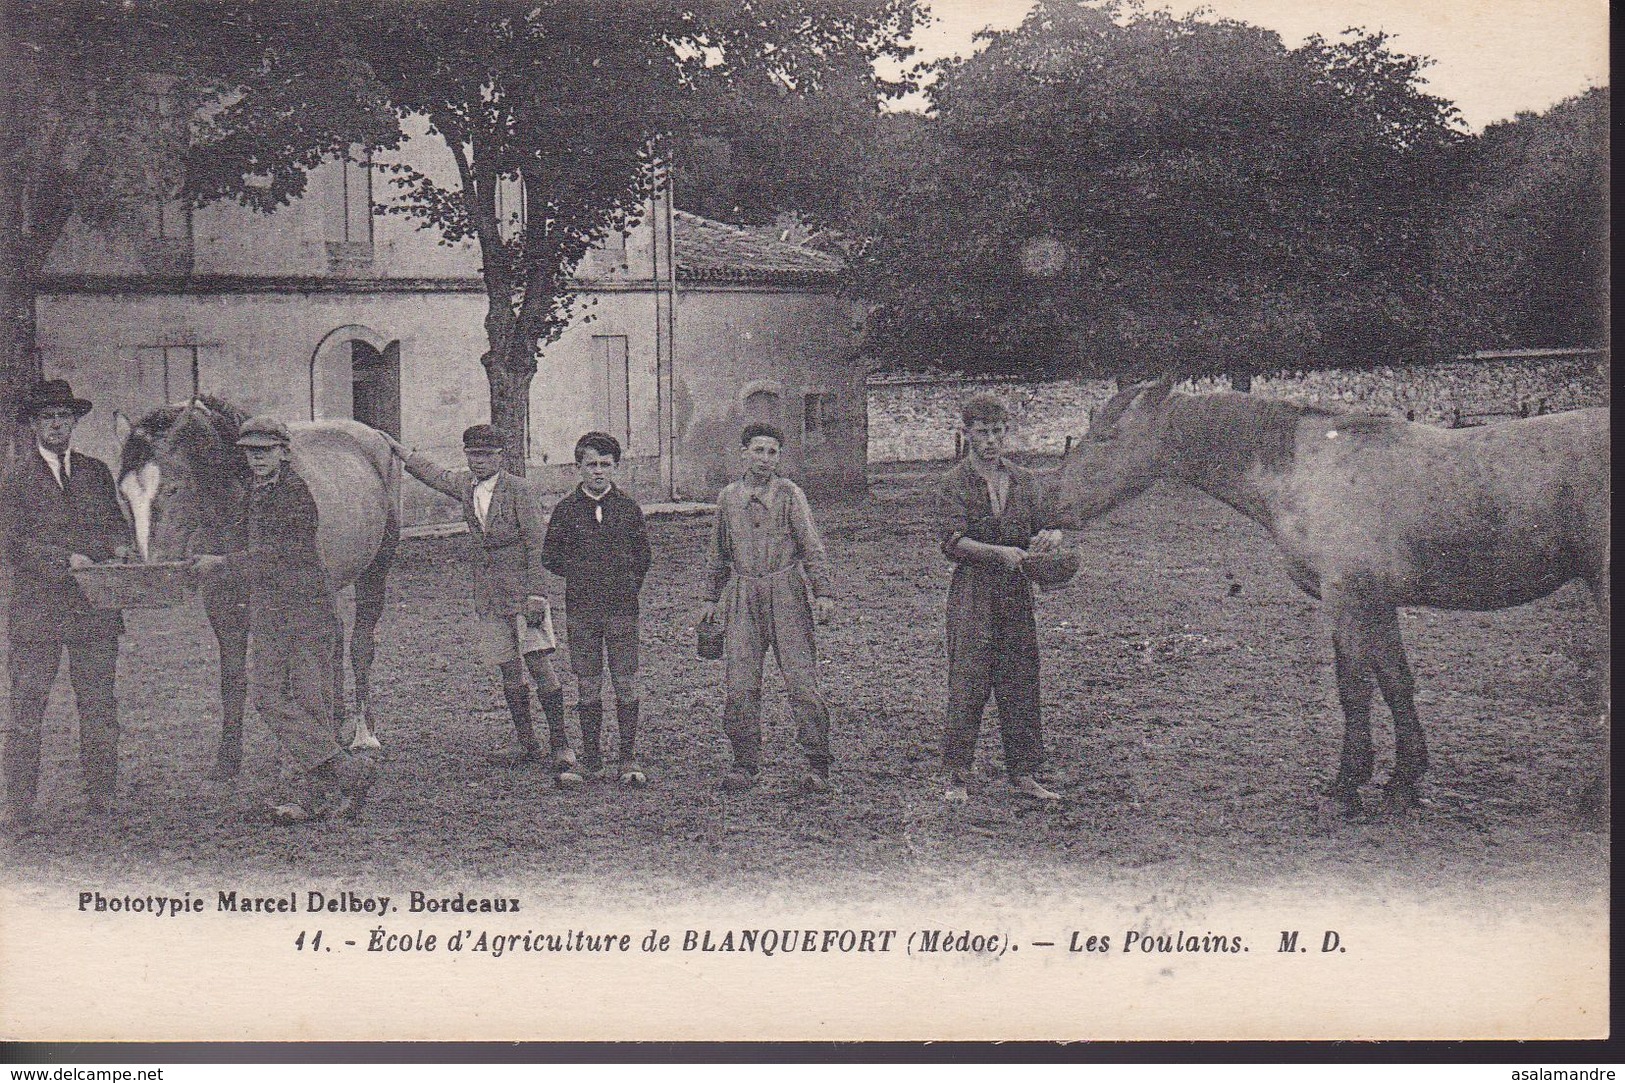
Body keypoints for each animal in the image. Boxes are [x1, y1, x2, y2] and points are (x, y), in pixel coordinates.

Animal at [118, 391, 399, 770]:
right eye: (123, 495)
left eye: (174, 488)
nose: (150, 573)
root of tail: (376, 436)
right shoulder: (223, 605)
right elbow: (233, 679)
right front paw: (227, 761)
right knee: (336, 638)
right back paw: (337, 723)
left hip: (374, 572)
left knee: (360, 646)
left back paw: (362, 734)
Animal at [1046, 377, 1605, 809]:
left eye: (1106, 436)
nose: (1053, 503)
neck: (1307, 470)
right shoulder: (1376, 602)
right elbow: (1395, 682)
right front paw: (1403, 783)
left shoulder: (1346, 598)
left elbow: (1353, 689)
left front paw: (1348, 786)